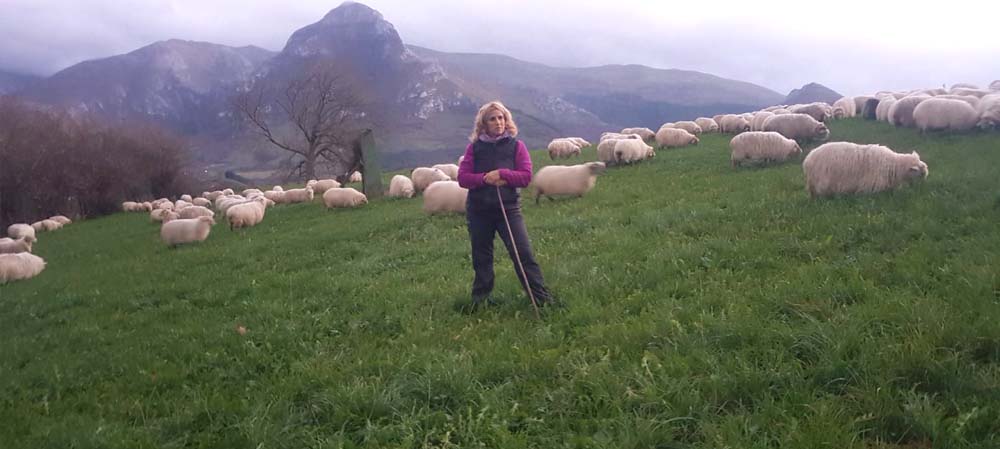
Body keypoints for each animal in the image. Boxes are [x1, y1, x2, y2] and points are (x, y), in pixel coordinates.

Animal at [796, 140, 928, 196]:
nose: (926, 173)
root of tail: (808, 159)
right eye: (919, 171)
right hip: (820, 180)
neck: (894, 165)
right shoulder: (871, 184)